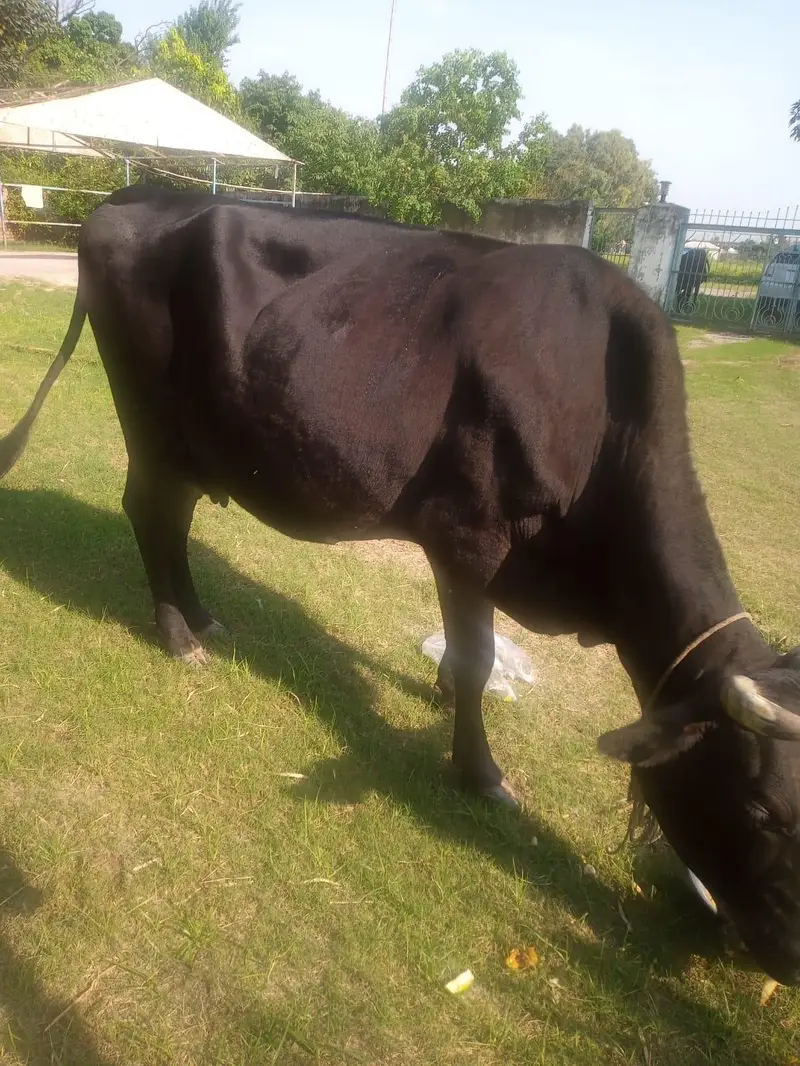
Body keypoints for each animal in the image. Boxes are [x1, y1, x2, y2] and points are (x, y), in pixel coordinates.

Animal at [1, 185, 799, 984]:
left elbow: (462, 655)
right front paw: (481, 772)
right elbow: (478, 658)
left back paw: (203, 619)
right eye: (761, 810)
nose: (785, 957)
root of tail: (138, 197)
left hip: (202, 443)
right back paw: (177, 636)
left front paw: (442, 693)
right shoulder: (467, 535)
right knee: (149, 510)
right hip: (152, 426)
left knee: (173, 519)